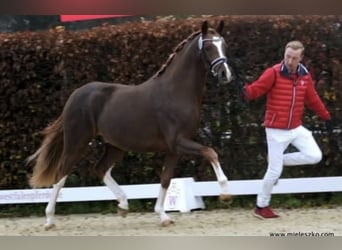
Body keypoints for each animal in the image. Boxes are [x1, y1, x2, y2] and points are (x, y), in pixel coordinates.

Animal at [28, 20, 234, 229]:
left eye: (224, 45)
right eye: (208, 47)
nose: (225, 74)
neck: (176, 92)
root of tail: (75, 95)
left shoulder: (173, 149)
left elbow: (166, 179)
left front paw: (163, 217)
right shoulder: (178, 142)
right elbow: (210, 152)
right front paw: (225, 193)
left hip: (115, 145)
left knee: (100, 168)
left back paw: (123, 205)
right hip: (77, 142)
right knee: (61, 175)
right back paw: (49, 220)